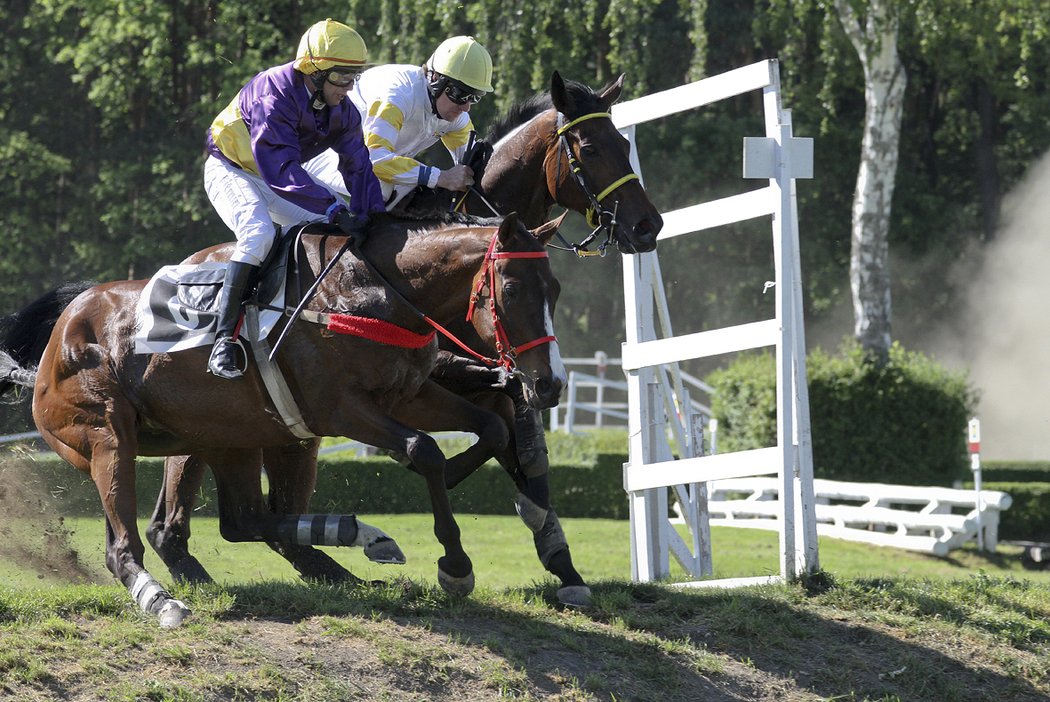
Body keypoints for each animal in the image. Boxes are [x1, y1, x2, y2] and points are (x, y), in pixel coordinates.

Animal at [0, 211, 567, 625]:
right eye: (513, 290)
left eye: (556, 290)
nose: (549, 384)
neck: (372, 291)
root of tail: (65, 322)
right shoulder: (339, 408)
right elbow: (423, 449)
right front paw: (455, 564)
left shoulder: (406, 394)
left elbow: (490, 427)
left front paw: (516, 503)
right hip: (106, 435)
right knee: (127, 543)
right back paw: (162, 601)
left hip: (229, 435)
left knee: (246, 520)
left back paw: (357, 543)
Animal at [148, 69, 663, 608]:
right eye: (590, 148)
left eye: (624, 144)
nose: (647, 225)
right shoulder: (436, 381)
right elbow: (485, 439)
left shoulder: (493, 376)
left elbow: (516, 441)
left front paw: (560, 557)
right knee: (179, 518)